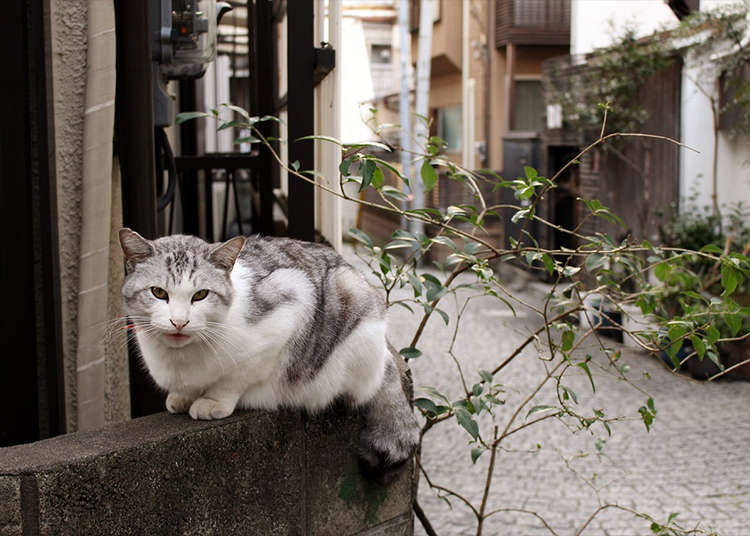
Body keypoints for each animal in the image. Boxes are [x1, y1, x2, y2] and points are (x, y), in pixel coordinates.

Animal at [120, 228, 420, 476]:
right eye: (158, 292)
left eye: (200, 295)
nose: (179, 322)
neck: (182, 360)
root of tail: (386, 353)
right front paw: (182, 396)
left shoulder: (291, 301)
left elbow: (235, 378)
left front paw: (212, 401)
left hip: (351, 308)